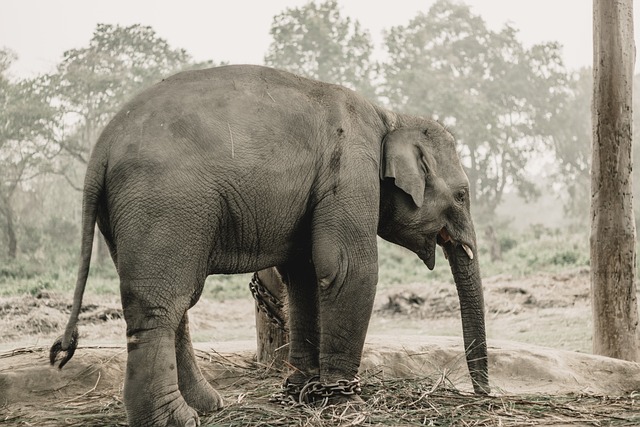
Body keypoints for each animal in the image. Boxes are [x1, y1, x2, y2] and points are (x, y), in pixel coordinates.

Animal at [50, 64, 490, 427]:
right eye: (462, 195)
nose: (483, 397)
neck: (391, 116)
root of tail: (101, 148)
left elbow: (304, 275)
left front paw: (302, 393)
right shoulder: (350, 170)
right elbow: (347, 268)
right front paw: (347, 404)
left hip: (131, 215)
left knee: (174, 303)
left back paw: (208, 406)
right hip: (165, 204)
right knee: (161, 305)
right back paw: (177, 420)